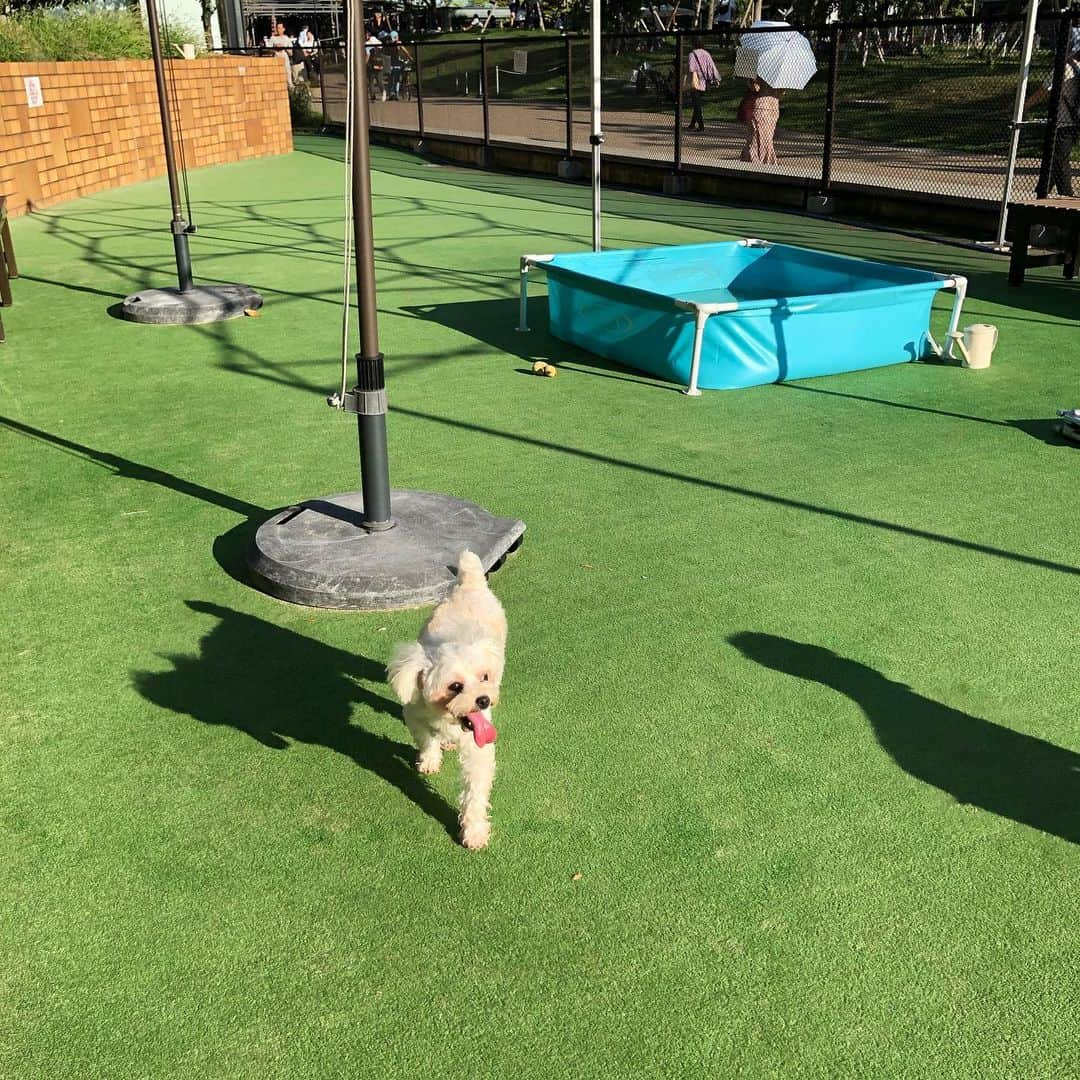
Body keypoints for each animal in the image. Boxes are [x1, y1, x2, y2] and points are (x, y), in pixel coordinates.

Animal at [386, 552, 507, 846]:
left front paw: (474, 831)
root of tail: (470, 584)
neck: (447, 718)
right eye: (455, 686)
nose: (484, 700)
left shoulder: (478, 749)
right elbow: (426, 739)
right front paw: (430, 760)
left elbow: (474, 791)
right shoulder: (413, 713)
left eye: (484, 677)